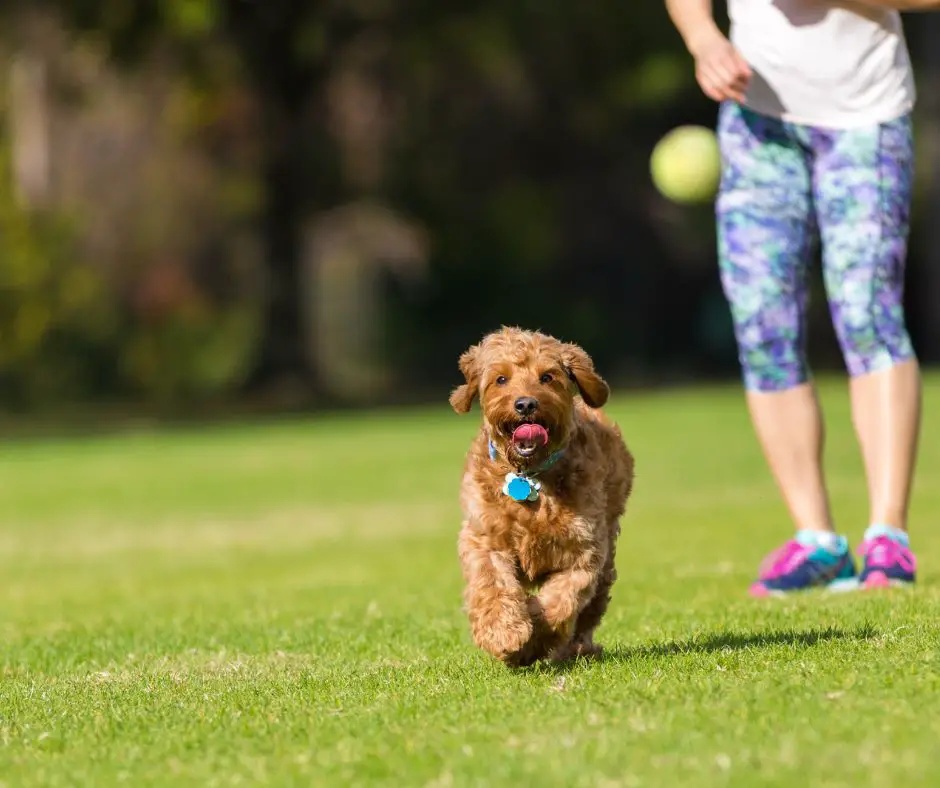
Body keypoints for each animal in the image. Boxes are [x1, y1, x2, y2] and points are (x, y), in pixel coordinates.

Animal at [452, 326, 636, 664]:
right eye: (501, 379)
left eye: (547, 377)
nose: (525, 404)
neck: (529, 477)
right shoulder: (483, 537)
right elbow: (492, 583)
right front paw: (504, 633)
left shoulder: (584, 552)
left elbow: (560, 602)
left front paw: (533, 639)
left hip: (606, 562)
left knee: (589, 612)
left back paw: (579, 648)